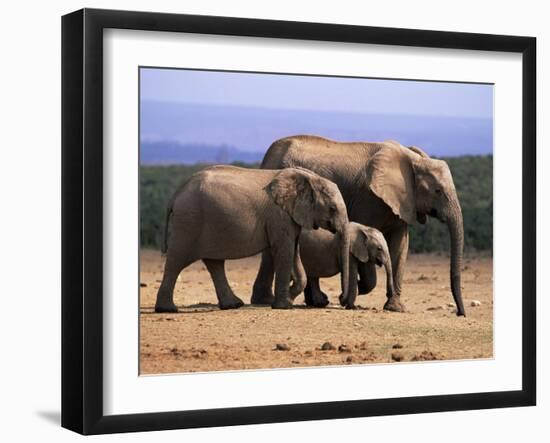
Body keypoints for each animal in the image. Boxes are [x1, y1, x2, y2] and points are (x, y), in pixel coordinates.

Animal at [156, 165, 354, 314]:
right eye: (332, 208)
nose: (341, 300)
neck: (309, 178)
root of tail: (176, 194)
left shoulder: (290, 216)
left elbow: (294, 250)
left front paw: (288, 298)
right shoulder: (278, 216)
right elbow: (284, 250)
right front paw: (284, 306)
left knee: (214, 263)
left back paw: (233, 305)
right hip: (189, 222)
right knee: (177, 260)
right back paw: (167, 309)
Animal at [252, 135, 468, 316]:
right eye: (438, 191)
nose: (460, 313)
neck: (412, 160)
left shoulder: (403, 202)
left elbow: (400, 245)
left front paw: (395, 308)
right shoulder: (368, 198)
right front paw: (353, 288)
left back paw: (316, 301)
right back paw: (268, 301)